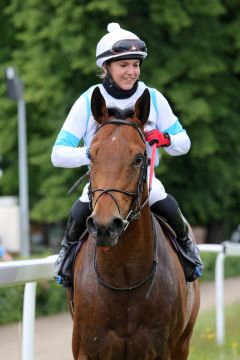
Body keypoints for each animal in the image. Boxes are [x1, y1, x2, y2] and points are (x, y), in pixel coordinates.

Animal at [71, 86, 201, 358]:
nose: (105, 226)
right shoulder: (86, 349)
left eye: (139, 158)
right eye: (91, 155)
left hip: (183, 343)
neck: (124, 279)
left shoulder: (162, 349)